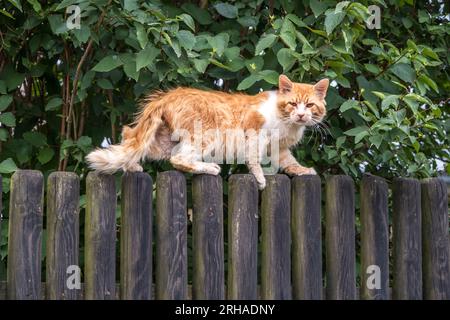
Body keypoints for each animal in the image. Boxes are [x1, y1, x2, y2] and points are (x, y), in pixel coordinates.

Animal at [86, 74, 328, 190]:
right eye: (293, 103)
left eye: (309, 106)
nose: (301, 115)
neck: (287, 123)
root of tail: (167, 96)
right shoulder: (254, 131)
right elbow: (254, 159)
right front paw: (260, 178)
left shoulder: (278, 148)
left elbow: (290, 162)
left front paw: (303, 171)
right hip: (206, 136)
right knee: (179, 160)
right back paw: (209, 168)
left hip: (164, 142)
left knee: (130, 138)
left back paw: (133, 166)